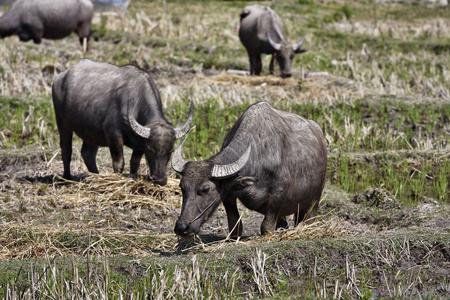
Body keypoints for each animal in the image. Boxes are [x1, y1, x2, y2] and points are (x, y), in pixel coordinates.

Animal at [52, 58, 193, 185]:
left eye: (171, 151)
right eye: (150, 150)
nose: (160, 180)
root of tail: (60, 77)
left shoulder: (140, 144)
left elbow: (134, 163)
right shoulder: (114, 135)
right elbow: (119, 163)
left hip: (91, 133)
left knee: (87, 154)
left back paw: (96, 175)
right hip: (62, 122)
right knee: (66, 149)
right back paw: (67, 177)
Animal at [171, 102, 326, 238]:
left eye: (205, 189)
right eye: (182, 187)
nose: (182, 227)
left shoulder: (279, 194)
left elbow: (266, 227)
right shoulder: (228, 194)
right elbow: (235, 227)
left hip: (313, 201)